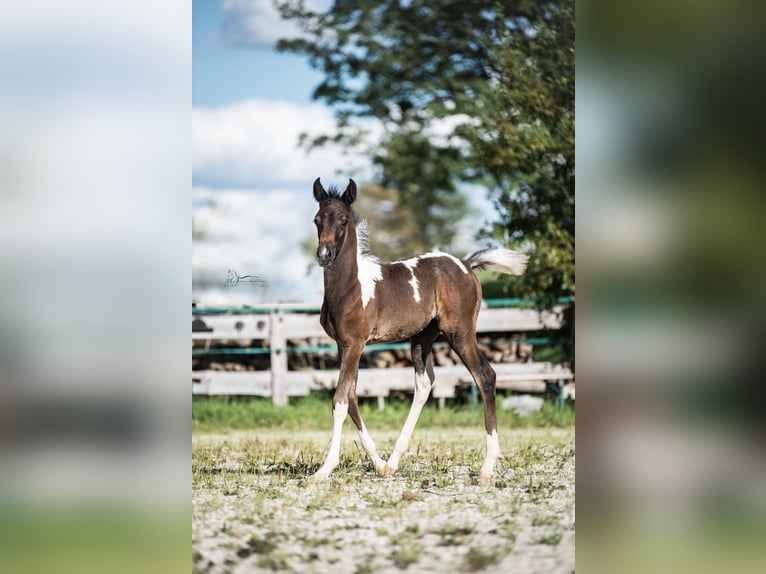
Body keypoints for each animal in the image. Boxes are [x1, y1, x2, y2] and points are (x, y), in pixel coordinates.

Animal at [310, 179, 528, 482]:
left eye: (343, 220)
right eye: (317, 220)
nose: (324, 255)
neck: (351, 286)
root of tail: (466, 264)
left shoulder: (355, 344)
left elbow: (340, 400)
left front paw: (325, 468)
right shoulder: (344, 345)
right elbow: (351, 396)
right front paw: (378, 463)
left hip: (460, 333)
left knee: (486, 376)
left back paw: (487, 465)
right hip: (422, 338)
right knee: (424, 384)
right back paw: (393, 461)